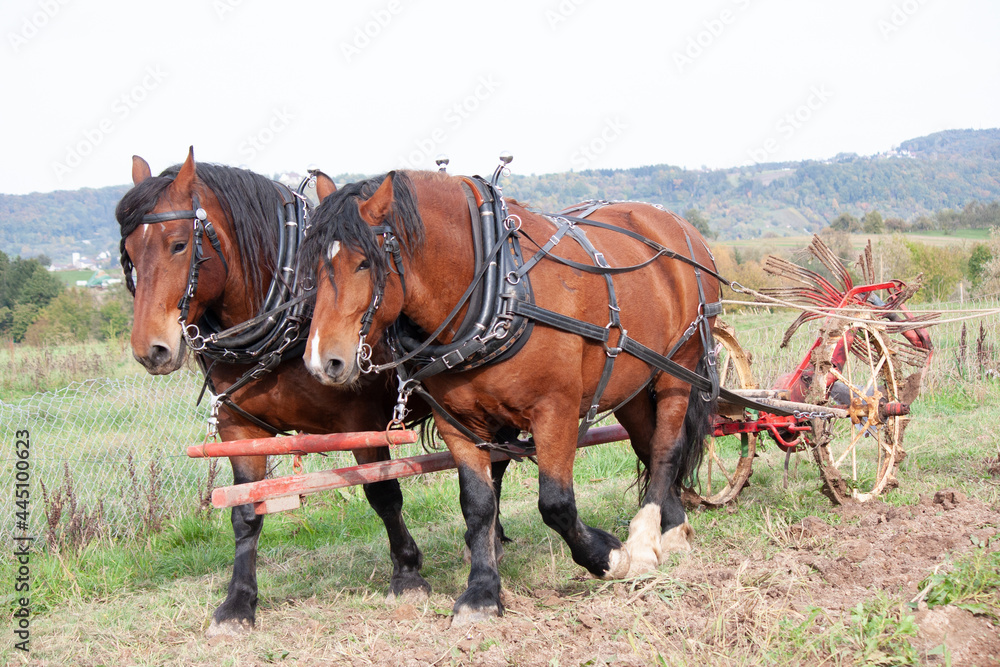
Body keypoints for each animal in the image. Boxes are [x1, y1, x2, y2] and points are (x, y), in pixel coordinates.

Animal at [115, 149, 436, 640]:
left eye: (178, 245)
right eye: (130, 253)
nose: (151, 349)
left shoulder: (363, 424)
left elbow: (383, 494)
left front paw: (408, 574)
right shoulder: (239, 430)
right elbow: (246, 511)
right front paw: (238, 603)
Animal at [298, 168, 720, 628]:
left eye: (364, 262)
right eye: (312, 266)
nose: (322, 361)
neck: (498, 287)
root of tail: (678, 226)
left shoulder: (555, 411)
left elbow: (556, 503)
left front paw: (608, 557)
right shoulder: (459, 424)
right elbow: (478, 505)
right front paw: (482, 591)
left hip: (679, 366)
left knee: (665, 448)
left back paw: (645, 540)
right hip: (633, 383)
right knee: (649, 443)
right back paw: (672, 527)